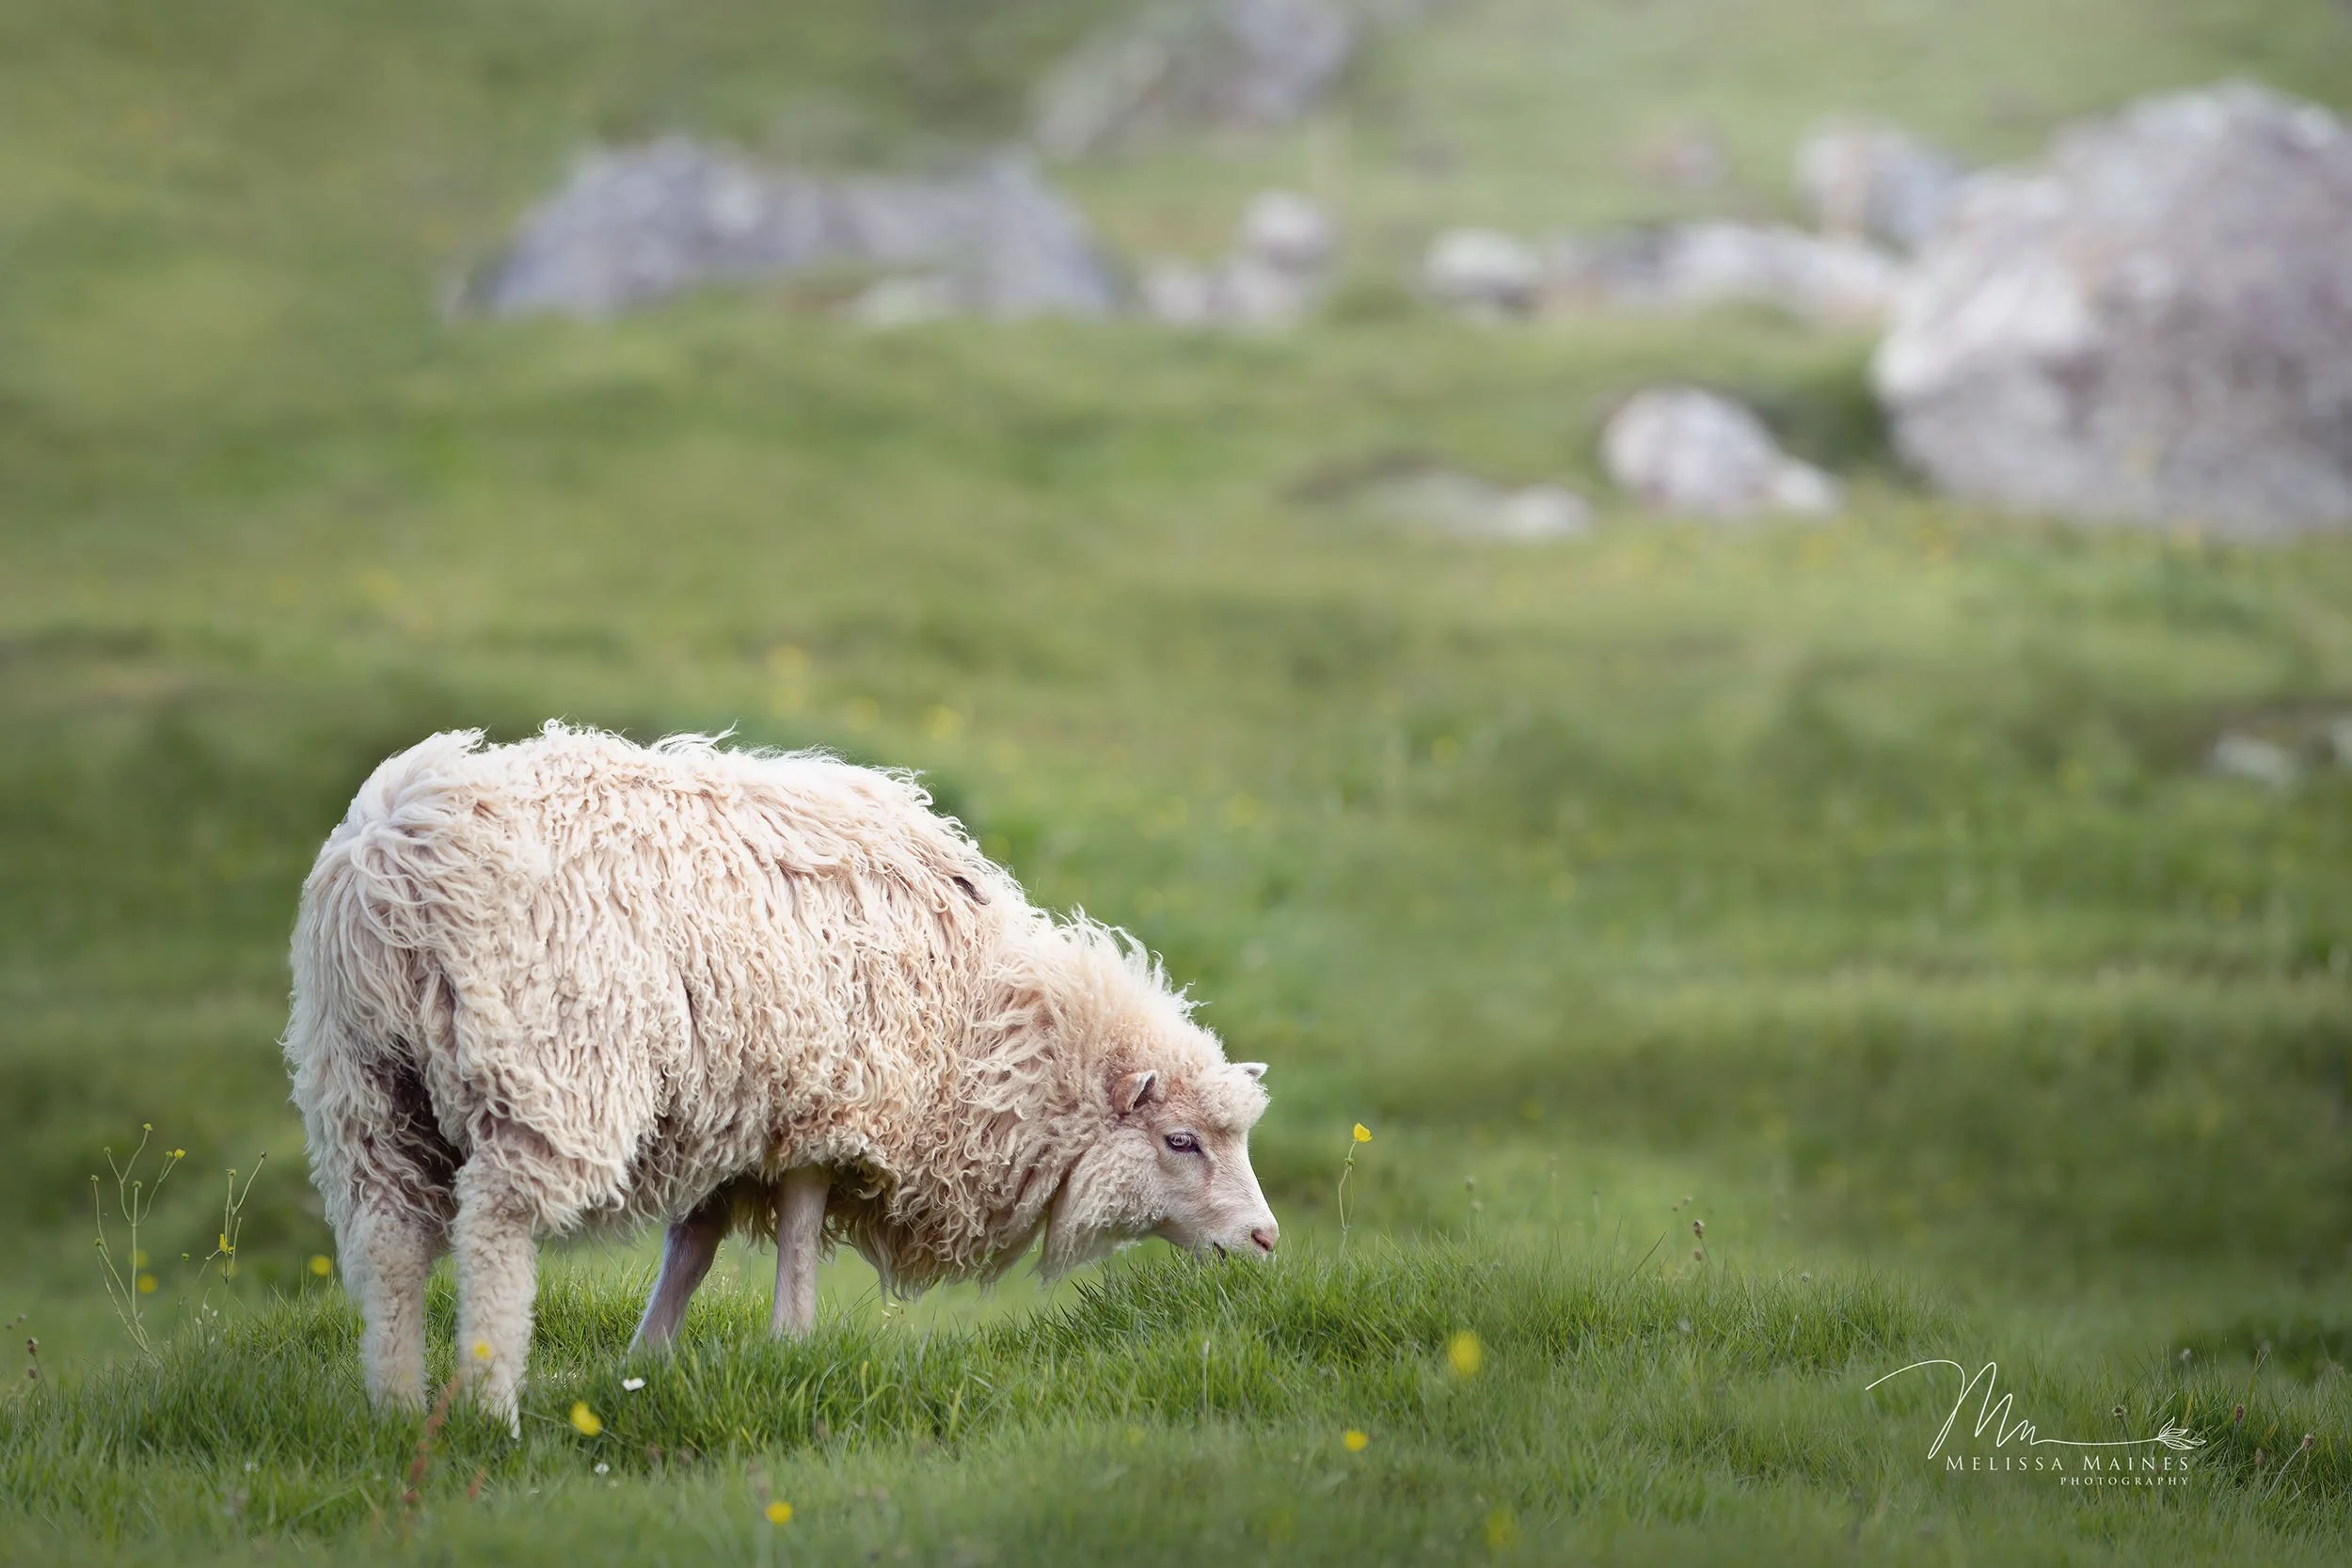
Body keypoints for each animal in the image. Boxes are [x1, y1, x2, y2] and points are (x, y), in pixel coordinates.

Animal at [282, 723, 1278, 1424]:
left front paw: (645, 1359)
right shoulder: (824, 1106)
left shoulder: (726, 1116)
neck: (984, 1023)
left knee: (390, 1238)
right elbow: (797, 1234)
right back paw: (493, 1410)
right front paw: (791, 1344)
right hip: (549, 1065)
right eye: (1181, 1140)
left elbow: (692, 1245)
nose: (1266, 1239)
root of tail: (389, 857)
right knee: (493, 1233)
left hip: (363, 1082)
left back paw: (395, 1407)